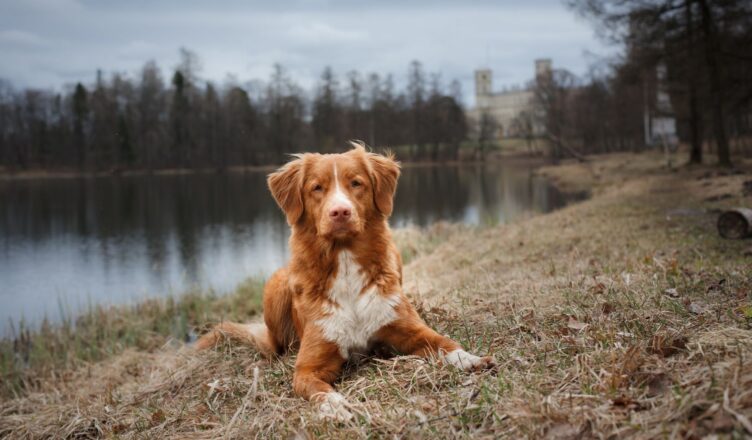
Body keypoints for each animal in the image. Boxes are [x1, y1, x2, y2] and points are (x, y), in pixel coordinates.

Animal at [197, 143, 496, 422]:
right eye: (317, 188)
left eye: (356, 183)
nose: (340, 211)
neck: (345, 262)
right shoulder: (308, 367)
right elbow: (318, 389)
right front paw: (336, 407)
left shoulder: (409, 331)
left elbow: (446, 343)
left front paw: (471, 359)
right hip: (276, 285)